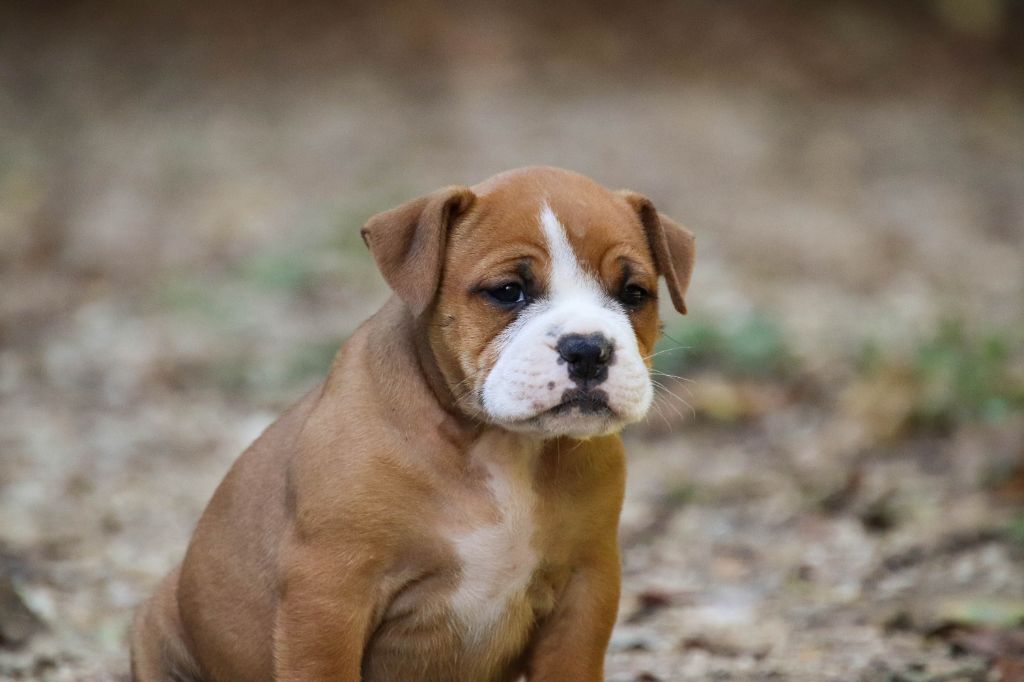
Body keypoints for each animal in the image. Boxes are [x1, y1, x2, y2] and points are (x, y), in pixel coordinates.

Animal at [130, 166, 695, 682]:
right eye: (508, 291)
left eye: (634, 293)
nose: (588, 349)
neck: (500, 445)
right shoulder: (329, 594)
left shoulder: (585, 588)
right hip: (158, 623)